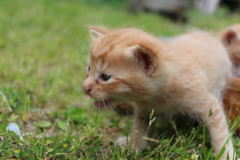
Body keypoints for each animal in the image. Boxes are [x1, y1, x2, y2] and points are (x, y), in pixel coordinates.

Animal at [83, 26, 235, 159]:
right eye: (89, 69)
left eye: (105, 77)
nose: (85, 88)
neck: (156, 99)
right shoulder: (144, 110)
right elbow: (139, 127)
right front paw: (134, 146)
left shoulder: (210, 105)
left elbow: (220, 133)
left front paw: (226, 155)